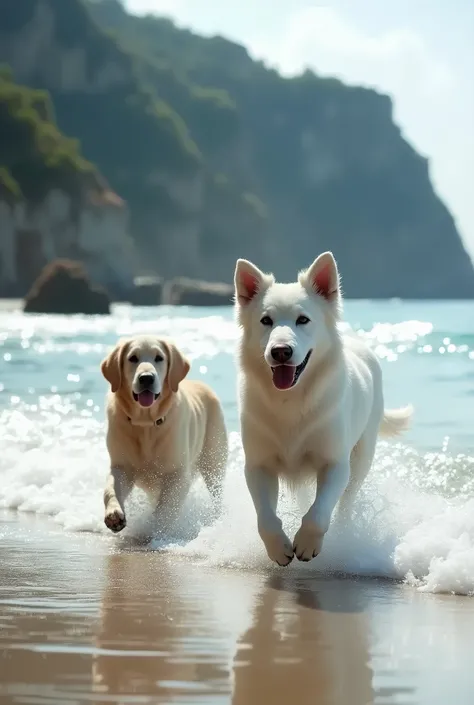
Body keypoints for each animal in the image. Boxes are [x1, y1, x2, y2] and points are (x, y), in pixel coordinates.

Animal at [235, 253, 412, 568]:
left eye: (303, 320)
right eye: (266, 321)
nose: (280, 351)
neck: (290, 399)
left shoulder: (335, 463)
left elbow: (319, 513)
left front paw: (307, 544)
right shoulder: (258, 465)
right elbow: (265, 519)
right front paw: (278, 548)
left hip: (362, 458)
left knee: (346, 501)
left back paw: (344, 532)